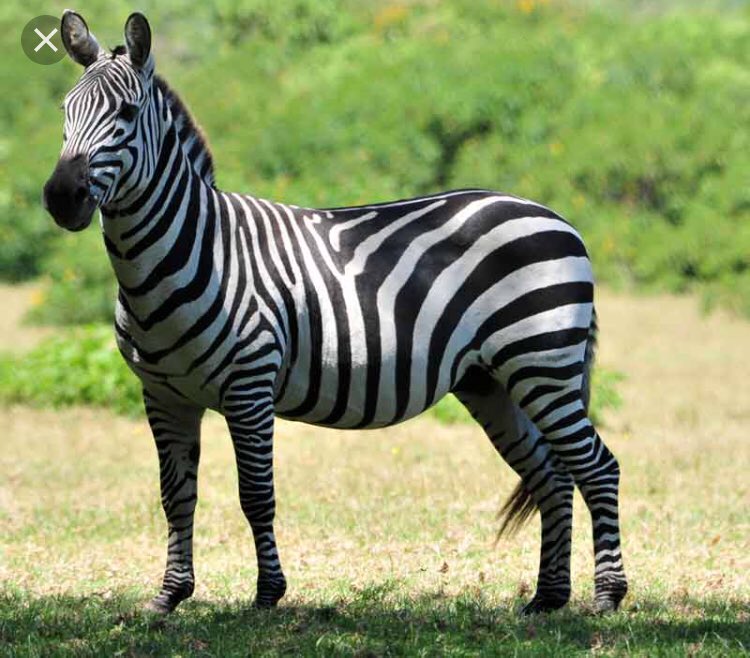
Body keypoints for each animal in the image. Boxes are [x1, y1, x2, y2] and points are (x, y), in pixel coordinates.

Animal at [42, 11, 628, 615]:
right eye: (63, 111)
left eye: (126, 114)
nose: (62, 197)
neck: (193, 249)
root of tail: (557, 217)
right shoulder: (163, 394)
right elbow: (175, 496)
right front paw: (169, 596)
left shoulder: (249, 386)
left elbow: (256, 495)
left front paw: (267, 594)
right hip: (492, 380)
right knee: (551, 474)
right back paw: (547, 597)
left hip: (542, 363)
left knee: (597, 467)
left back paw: (606, 595)